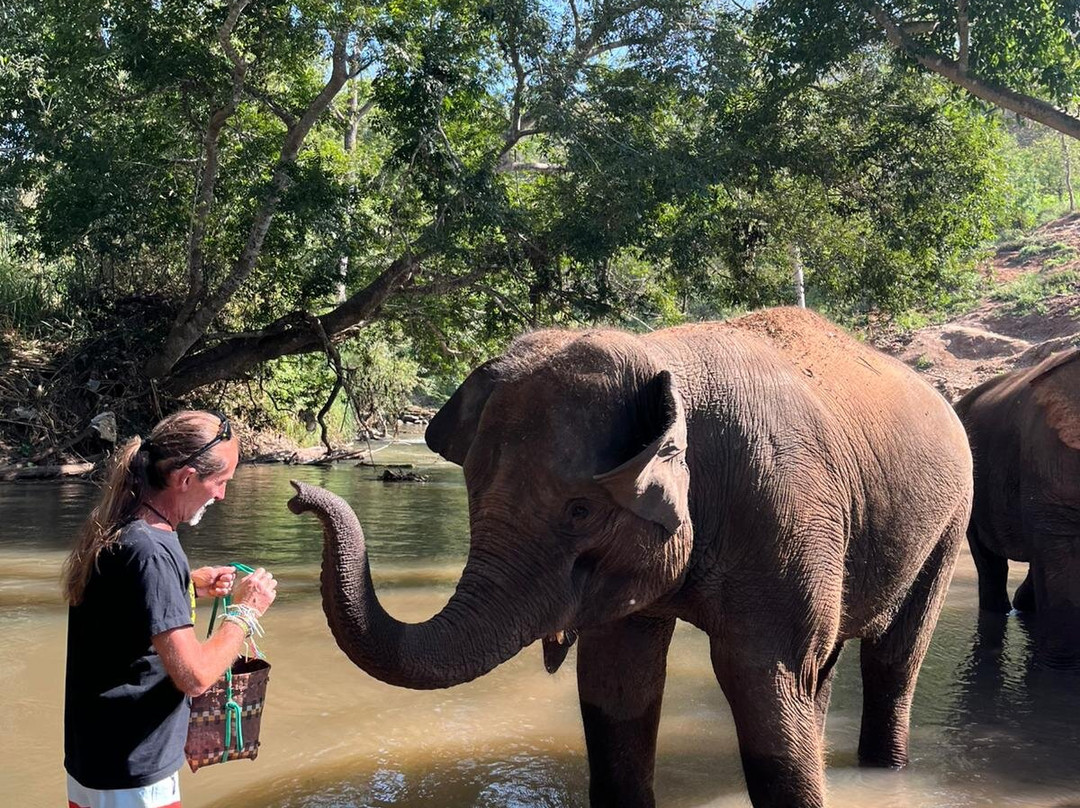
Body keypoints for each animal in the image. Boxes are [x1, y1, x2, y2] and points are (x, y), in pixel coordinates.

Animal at [288, 306, 973, 808]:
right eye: (473, 492)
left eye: (579, 511)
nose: (297, 494)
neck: (664, 360)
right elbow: (616, 681)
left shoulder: (788, 517)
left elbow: (768, 683)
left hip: (951, 518)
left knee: (894, 657)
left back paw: (886, 767)